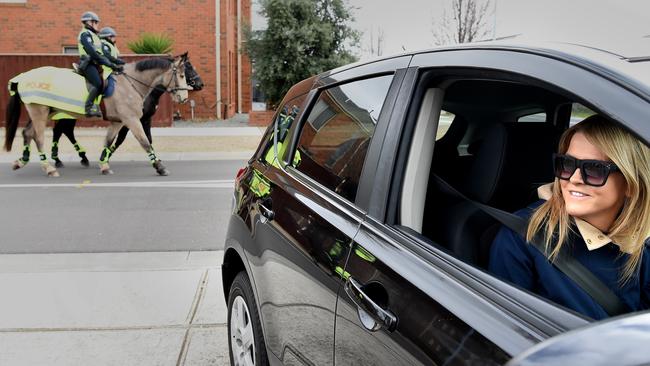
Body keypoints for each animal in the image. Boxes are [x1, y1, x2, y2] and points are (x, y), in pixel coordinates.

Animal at [3, 52, 191, 176]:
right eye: (182, 75)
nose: (184, 98)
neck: (129, 83)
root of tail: (23, 77)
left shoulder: (118, 122)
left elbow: (109, 141)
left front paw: (104, 164)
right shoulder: (131, 120)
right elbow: (145, 142)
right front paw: (159, 167)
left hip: (46, 112)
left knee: (28, 133)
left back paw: (22, 161)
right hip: (39, 112)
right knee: (40, 137)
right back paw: (50, 168)